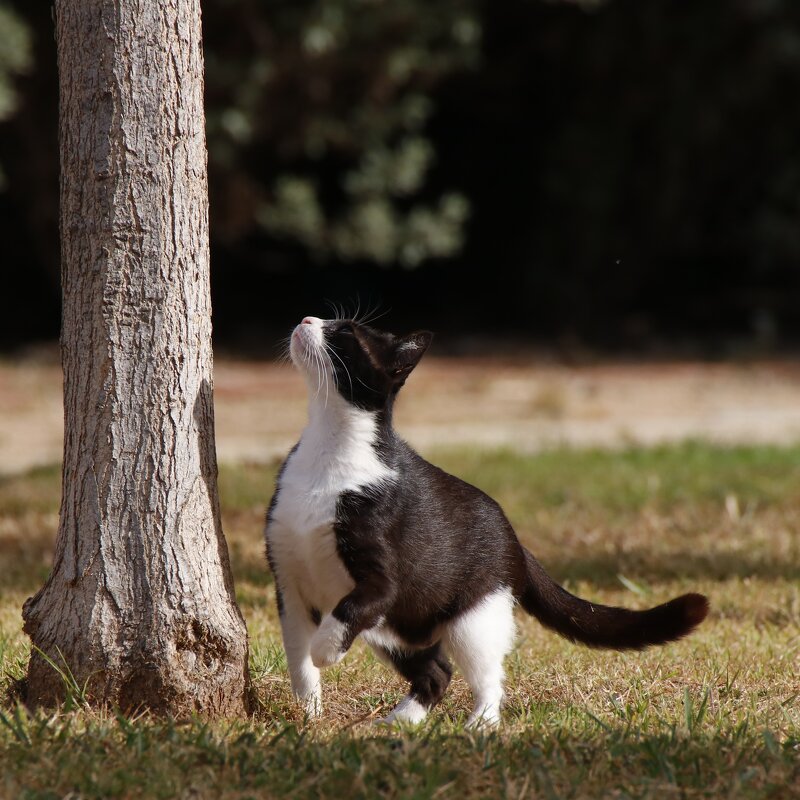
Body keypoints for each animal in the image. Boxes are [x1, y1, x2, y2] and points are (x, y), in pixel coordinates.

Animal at [266, 316, 708, 728]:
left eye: (345, 331)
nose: (307, 320)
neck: (327, 448)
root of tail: (515, 540)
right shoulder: (288, 582)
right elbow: (298, 658)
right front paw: (308, 713)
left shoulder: (381, 578)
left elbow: (346, 611)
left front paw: (326, 651)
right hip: (396, 626)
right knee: (436, 672)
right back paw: (399, 722)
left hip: (473, 614)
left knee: (486, 677)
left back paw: (479, 724)